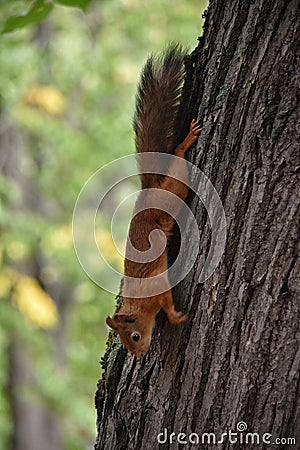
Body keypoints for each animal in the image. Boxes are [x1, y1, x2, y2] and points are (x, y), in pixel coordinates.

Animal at [105, 44, 202, 356]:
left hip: (174, 189)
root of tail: (148, 189)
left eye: (134, 336)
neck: (137, 303)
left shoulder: (157, 287)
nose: (139, 355)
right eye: (125, 341)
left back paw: (185, 143)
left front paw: (175, 317)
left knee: (180, 162)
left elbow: (168, 301)